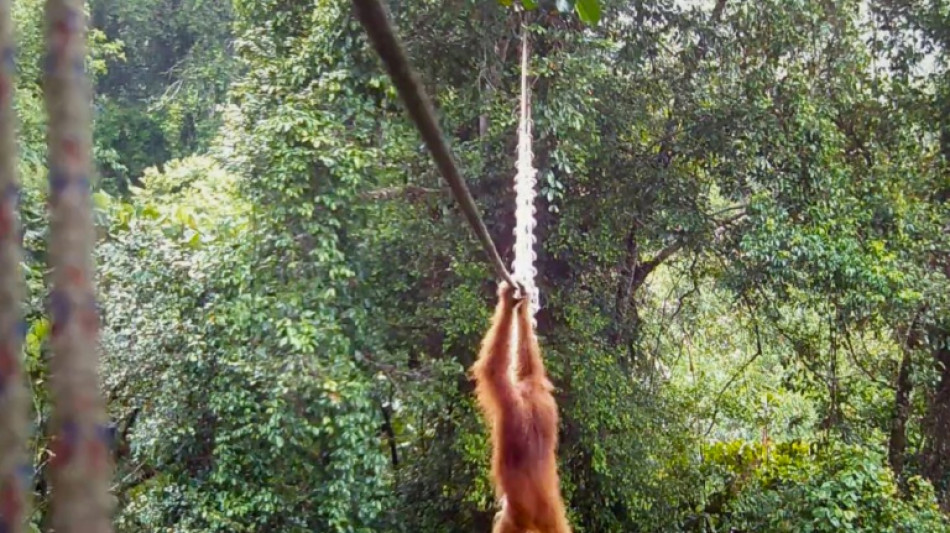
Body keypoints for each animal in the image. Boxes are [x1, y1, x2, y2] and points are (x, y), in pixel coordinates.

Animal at [472, 281, 571, 533]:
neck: (529, 398)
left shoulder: (509, 402)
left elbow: (493, 369)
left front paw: (508, 301)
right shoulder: (540, 390)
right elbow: (530, 363)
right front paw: (522, 308)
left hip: (518, 515)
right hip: (548, 516)